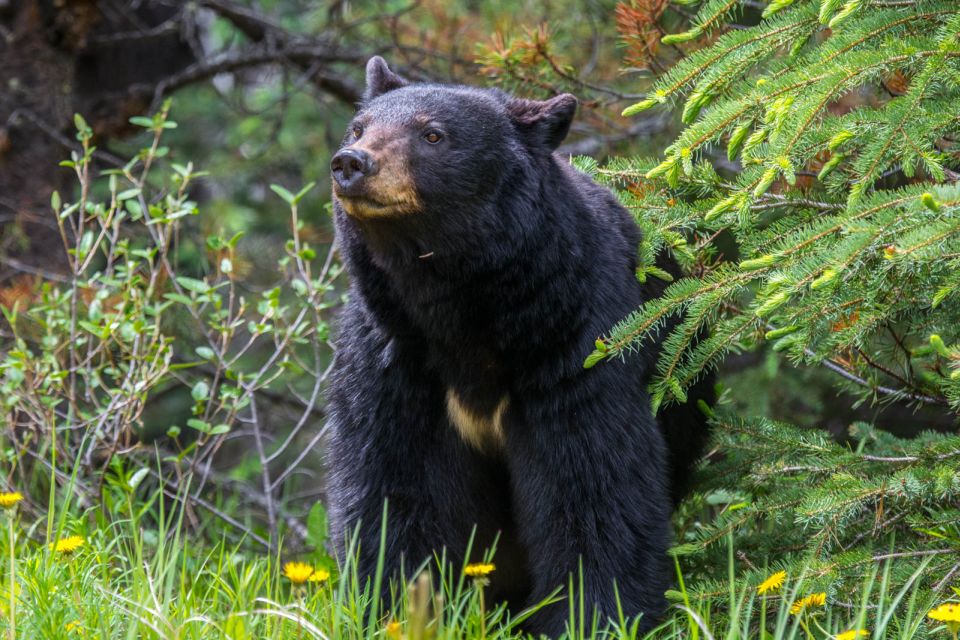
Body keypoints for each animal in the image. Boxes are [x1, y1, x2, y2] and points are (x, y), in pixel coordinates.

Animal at [326, 58, 708, 636]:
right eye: (358, 128)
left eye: (432, 134)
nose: (351, 162)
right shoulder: (393, 356)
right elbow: (391, 484)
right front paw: (394, 609)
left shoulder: (574, 344)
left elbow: (592, 485)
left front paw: (592, 615)